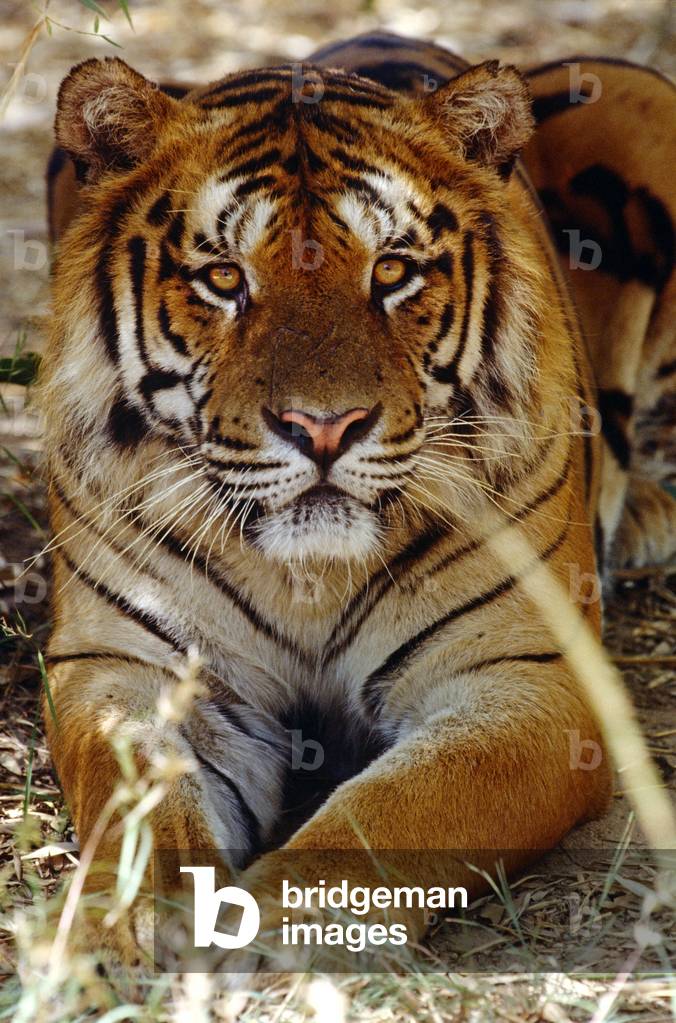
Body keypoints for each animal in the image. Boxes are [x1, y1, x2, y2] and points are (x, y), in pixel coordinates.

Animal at [41, 30, 674, 967]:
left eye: (394, 271)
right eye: (223, 278)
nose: (324, 426)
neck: (306, 574)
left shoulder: (529, 673)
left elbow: (402, 804)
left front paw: (272, 924)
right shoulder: (125, 666)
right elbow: (139, 809)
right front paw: (138, 923)